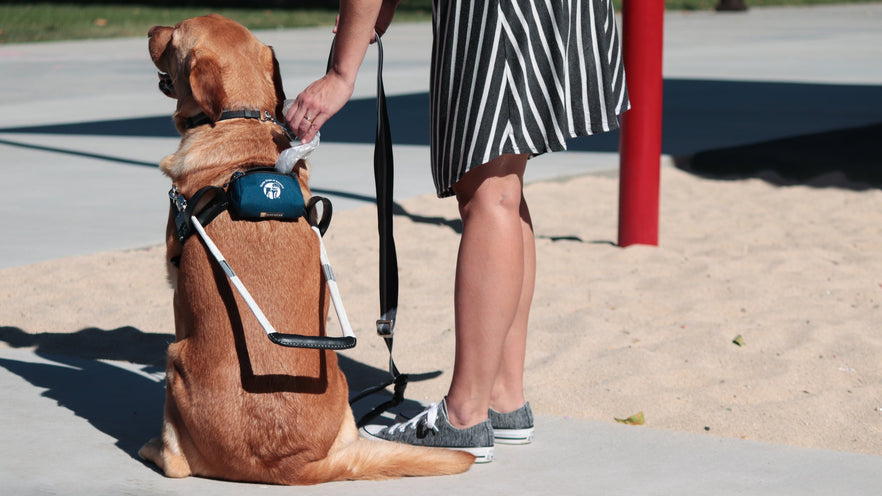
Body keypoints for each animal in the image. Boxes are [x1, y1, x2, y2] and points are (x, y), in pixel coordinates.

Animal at [144, 14, 474, 484]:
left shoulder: (175, 286)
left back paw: (153, 450)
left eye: (174, 34)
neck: (239, 120)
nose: (151, 29)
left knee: (176, 464)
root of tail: (290, 464)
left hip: (175, 362)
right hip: (341, 382)